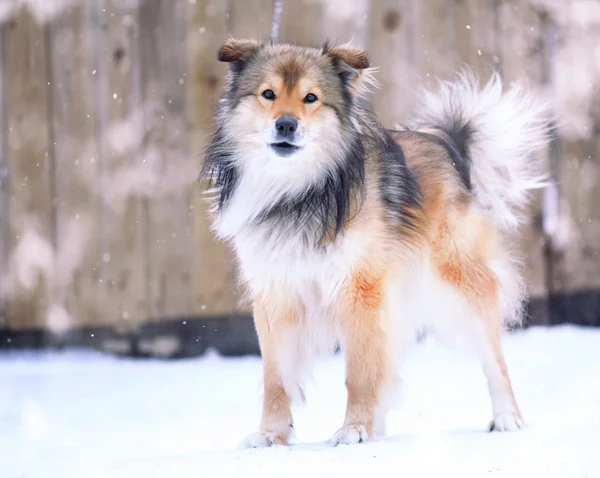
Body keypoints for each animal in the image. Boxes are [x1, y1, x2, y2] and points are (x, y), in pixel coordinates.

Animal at [198, 38, 552, 448]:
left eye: (311, 98)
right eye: (267, 94)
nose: (286, 124)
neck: (298, 191)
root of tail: (445, 145)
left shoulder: (359, 289)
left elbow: (360, 372)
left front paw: (354, 429)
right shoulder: (276, 295)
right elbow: (277, 380)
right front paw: (271, 435)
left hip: (458, 283)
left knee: (493, 360)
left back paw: (507, 417)